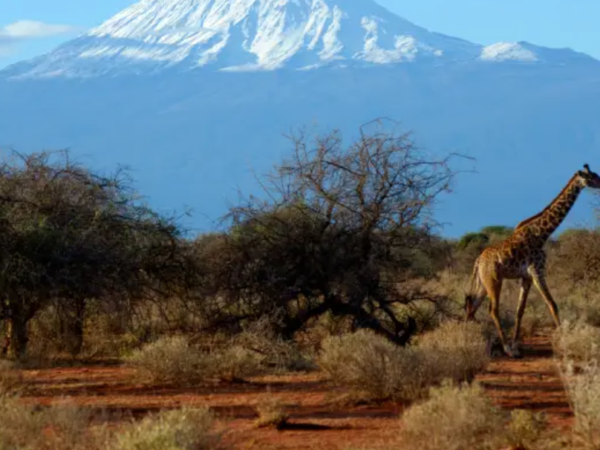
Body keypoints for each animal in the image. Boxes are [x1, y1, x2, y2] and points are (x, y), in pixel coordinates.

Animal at [466, 163, 600, 356]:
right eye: (592, 177)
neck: (542, 234)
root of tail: (478, 261)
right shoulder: (537, 271)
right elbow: (552, 304)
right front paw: (563, 341)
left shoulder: (527, 277)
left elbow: (520, 310)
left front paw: (516, 345)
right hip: (494, 280)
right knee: (492, 310)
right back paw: (505, 348)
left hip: (484, 283)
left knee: (472, 308)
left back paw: (471, 341)